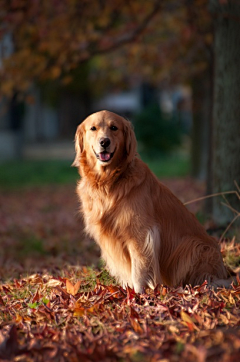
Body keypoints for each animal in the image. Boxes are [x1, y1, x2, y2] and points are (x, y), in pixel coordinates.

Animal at [72, 109, 231, 292]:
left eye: (114, 128)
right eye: (93, 128)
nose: (104, 142)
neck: (108, 181)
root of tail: (223, 271)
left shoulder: (141, 234)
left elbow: (139, 270)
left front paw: (139, 294)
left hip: (194, 246)